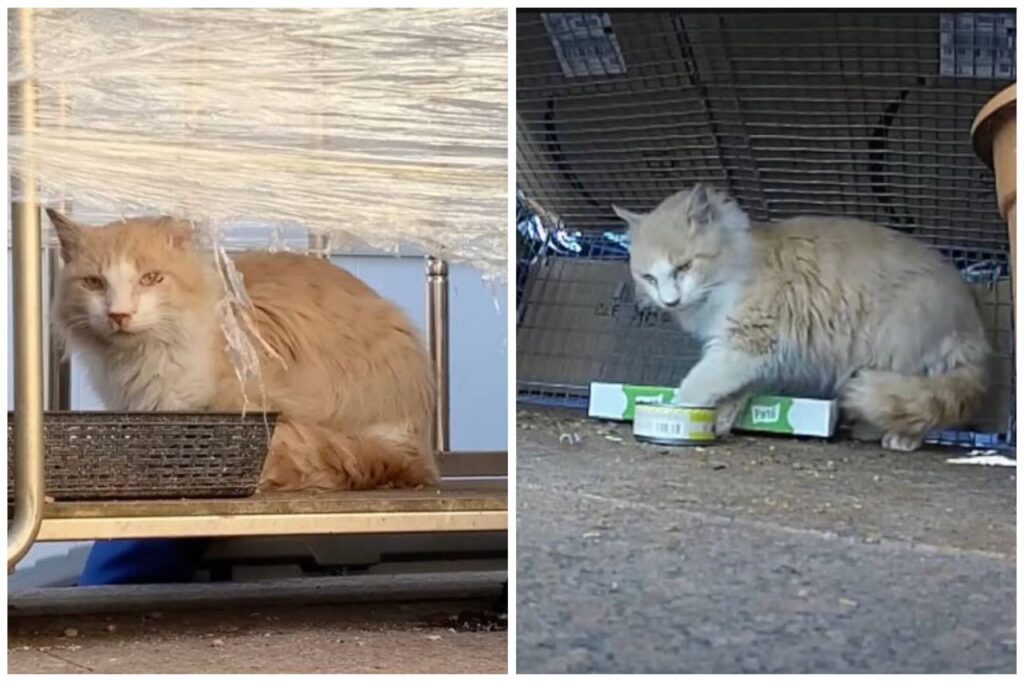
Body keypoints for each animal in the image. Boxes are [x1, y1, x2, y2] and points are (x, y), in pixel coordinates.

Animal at [614, 184, 991, 450]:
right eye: (649, 278)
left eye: (684, 267)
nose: (670, 301)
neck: (737, 262)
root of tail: (972, 320)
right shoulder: (753, 356)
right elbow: (735, 390)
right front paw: (720, 418)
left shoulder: (746, 344)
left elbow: (698, 383)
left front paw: (677, 412)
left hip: (894, 354)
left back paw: (897, 437)